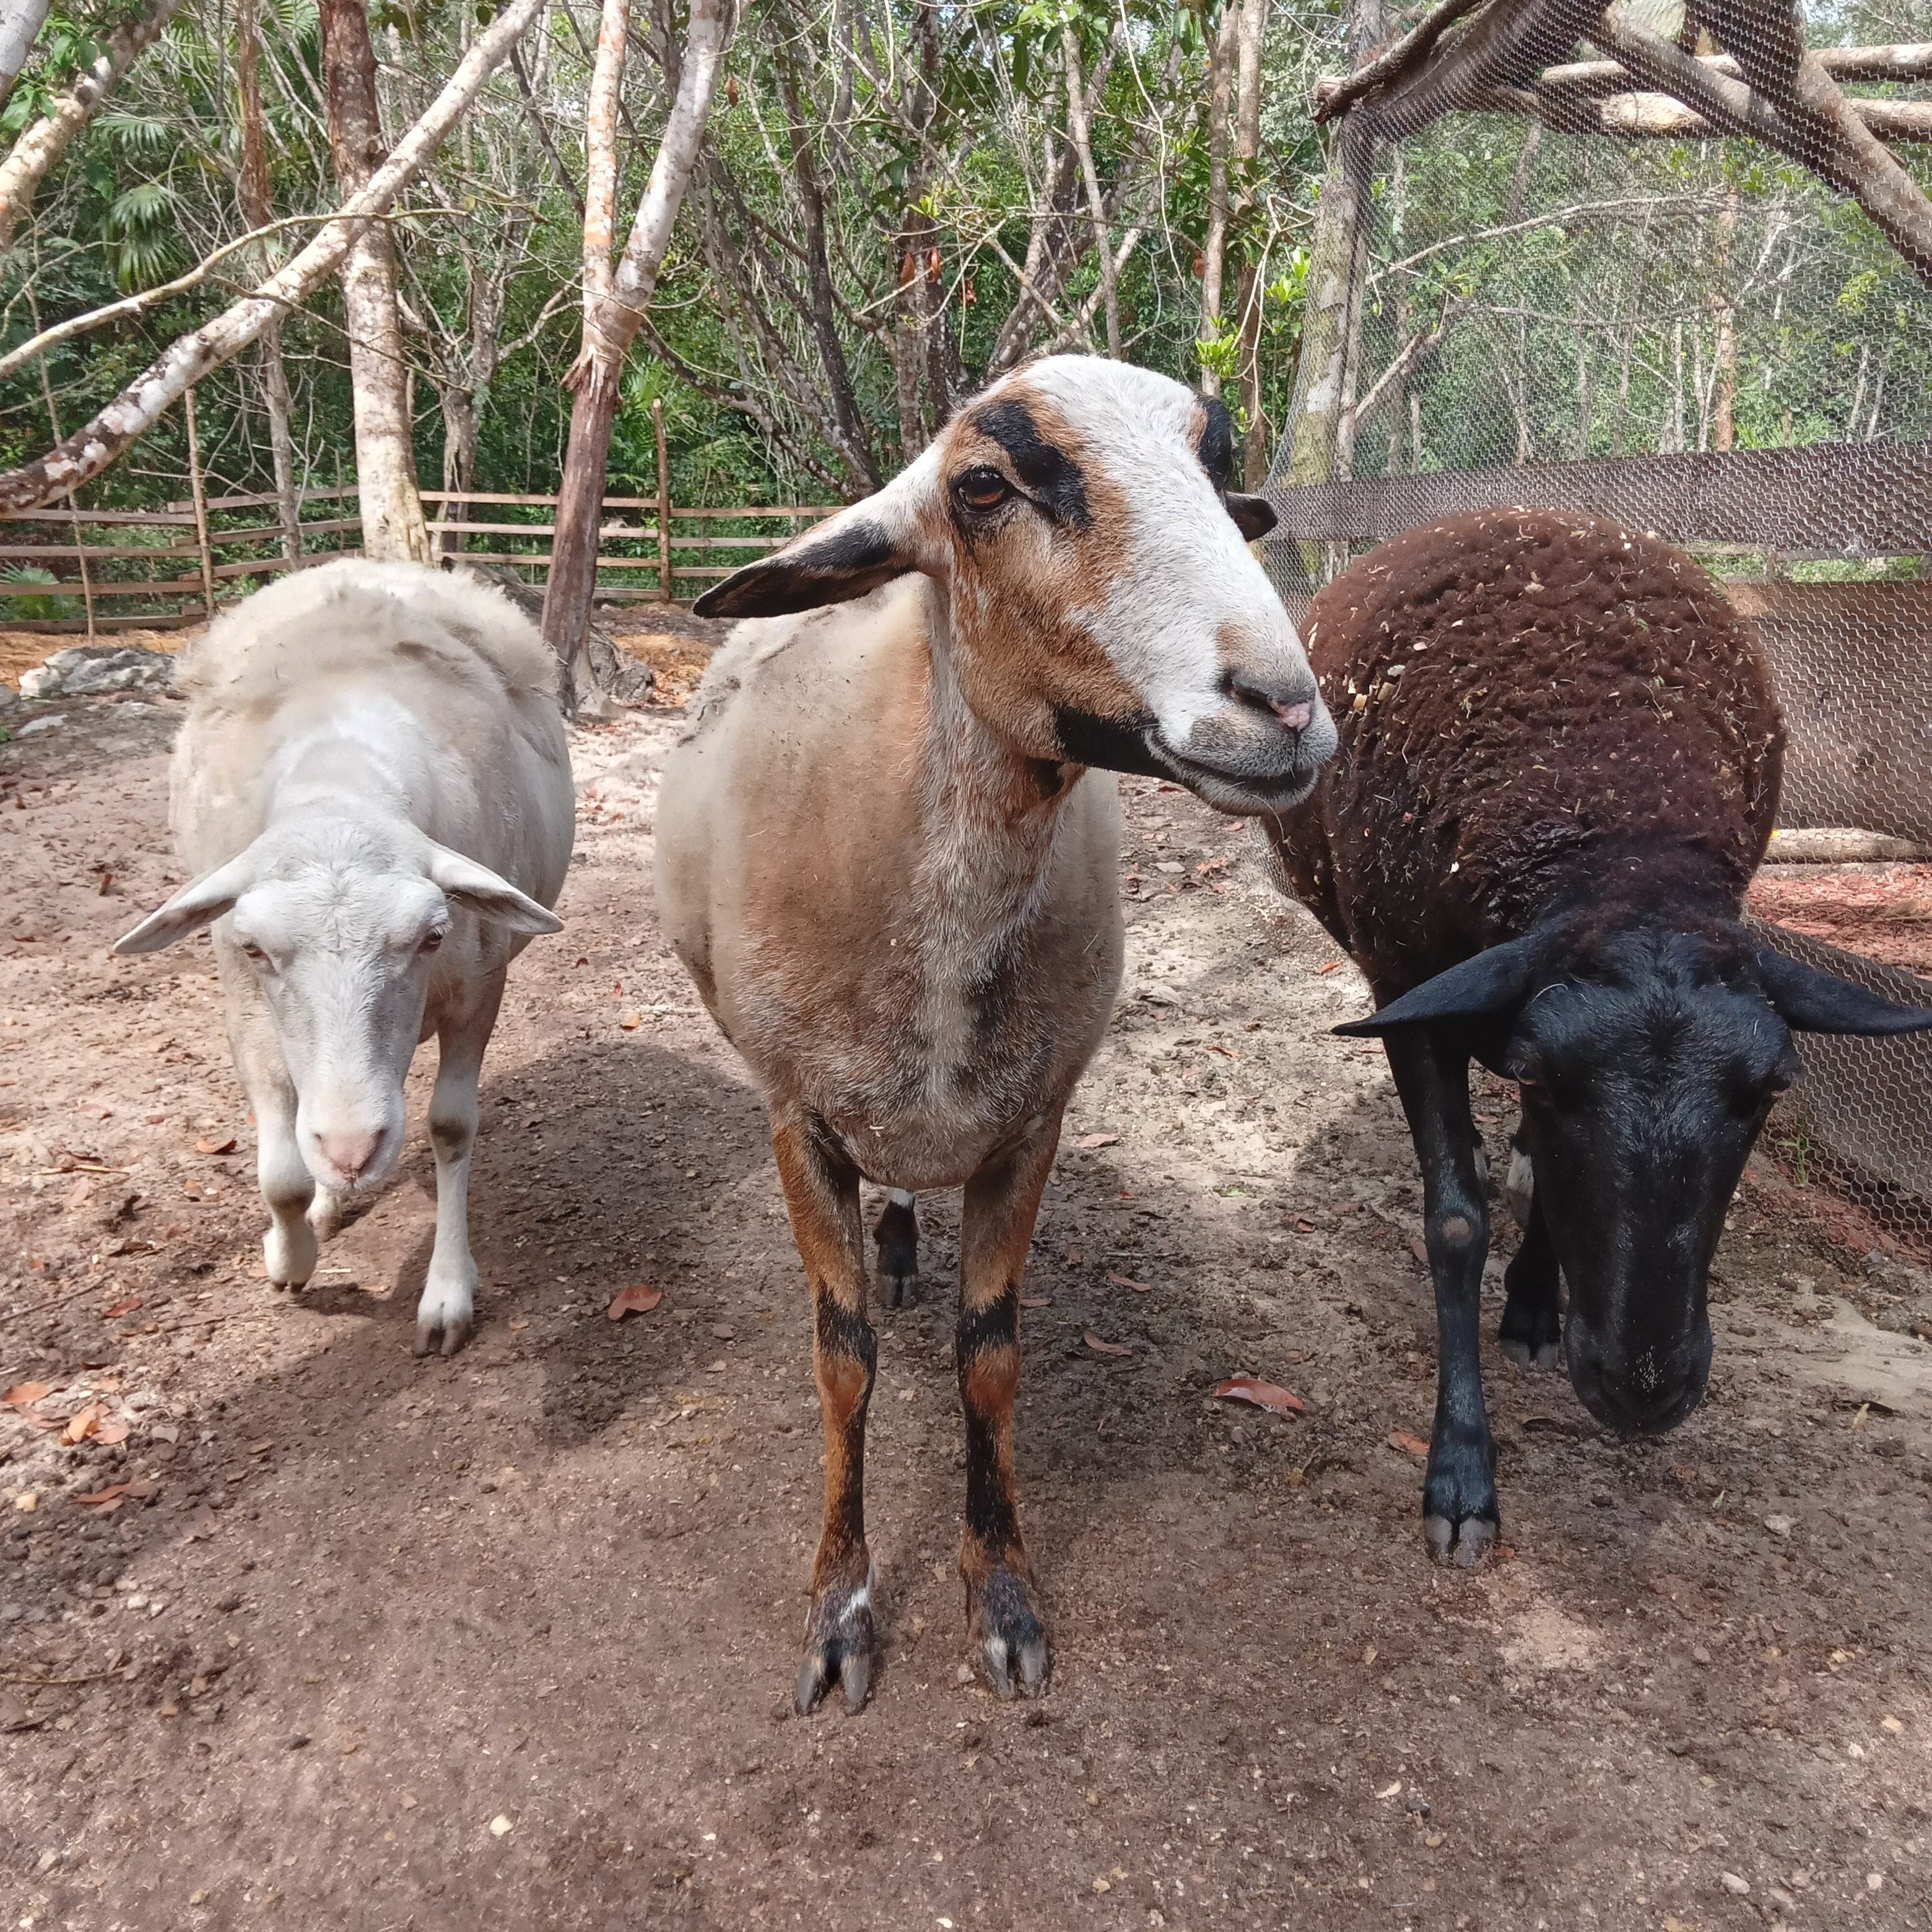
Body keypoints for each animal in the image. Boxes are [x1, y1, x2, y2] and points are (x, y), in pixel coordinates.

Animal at [113, 559, 573, 1357]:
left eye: (431, 936)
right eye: (256, 945)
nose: (355, 1149)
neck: (341, 772)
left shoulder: (478, 985)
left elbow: (451, 1128)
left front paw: (447, 1293)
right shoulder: (246, 1004)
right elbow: (280, 1174)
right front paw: (291, 1255)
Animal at [656, 354, 1335, 1712]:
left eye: (1213, 464)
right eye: (984, 488)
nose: (1283, 708)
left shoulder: (1031, 1122)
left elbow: (991, 1360)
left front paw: (1004, 1597)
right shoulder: (796, 1117)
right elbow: (844, 1362)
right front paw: (839, 1610)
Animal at [1267, 508, 1932, 1564]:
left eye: (1773, 1086)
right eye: (1542, 1076)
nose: (1641, 1393)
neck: (1621, 849)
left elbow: (1540, 1179)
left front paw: (1538, 1306)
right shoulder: (1405, 988)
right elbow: (1455, 1223)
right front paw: (1462, 1472)